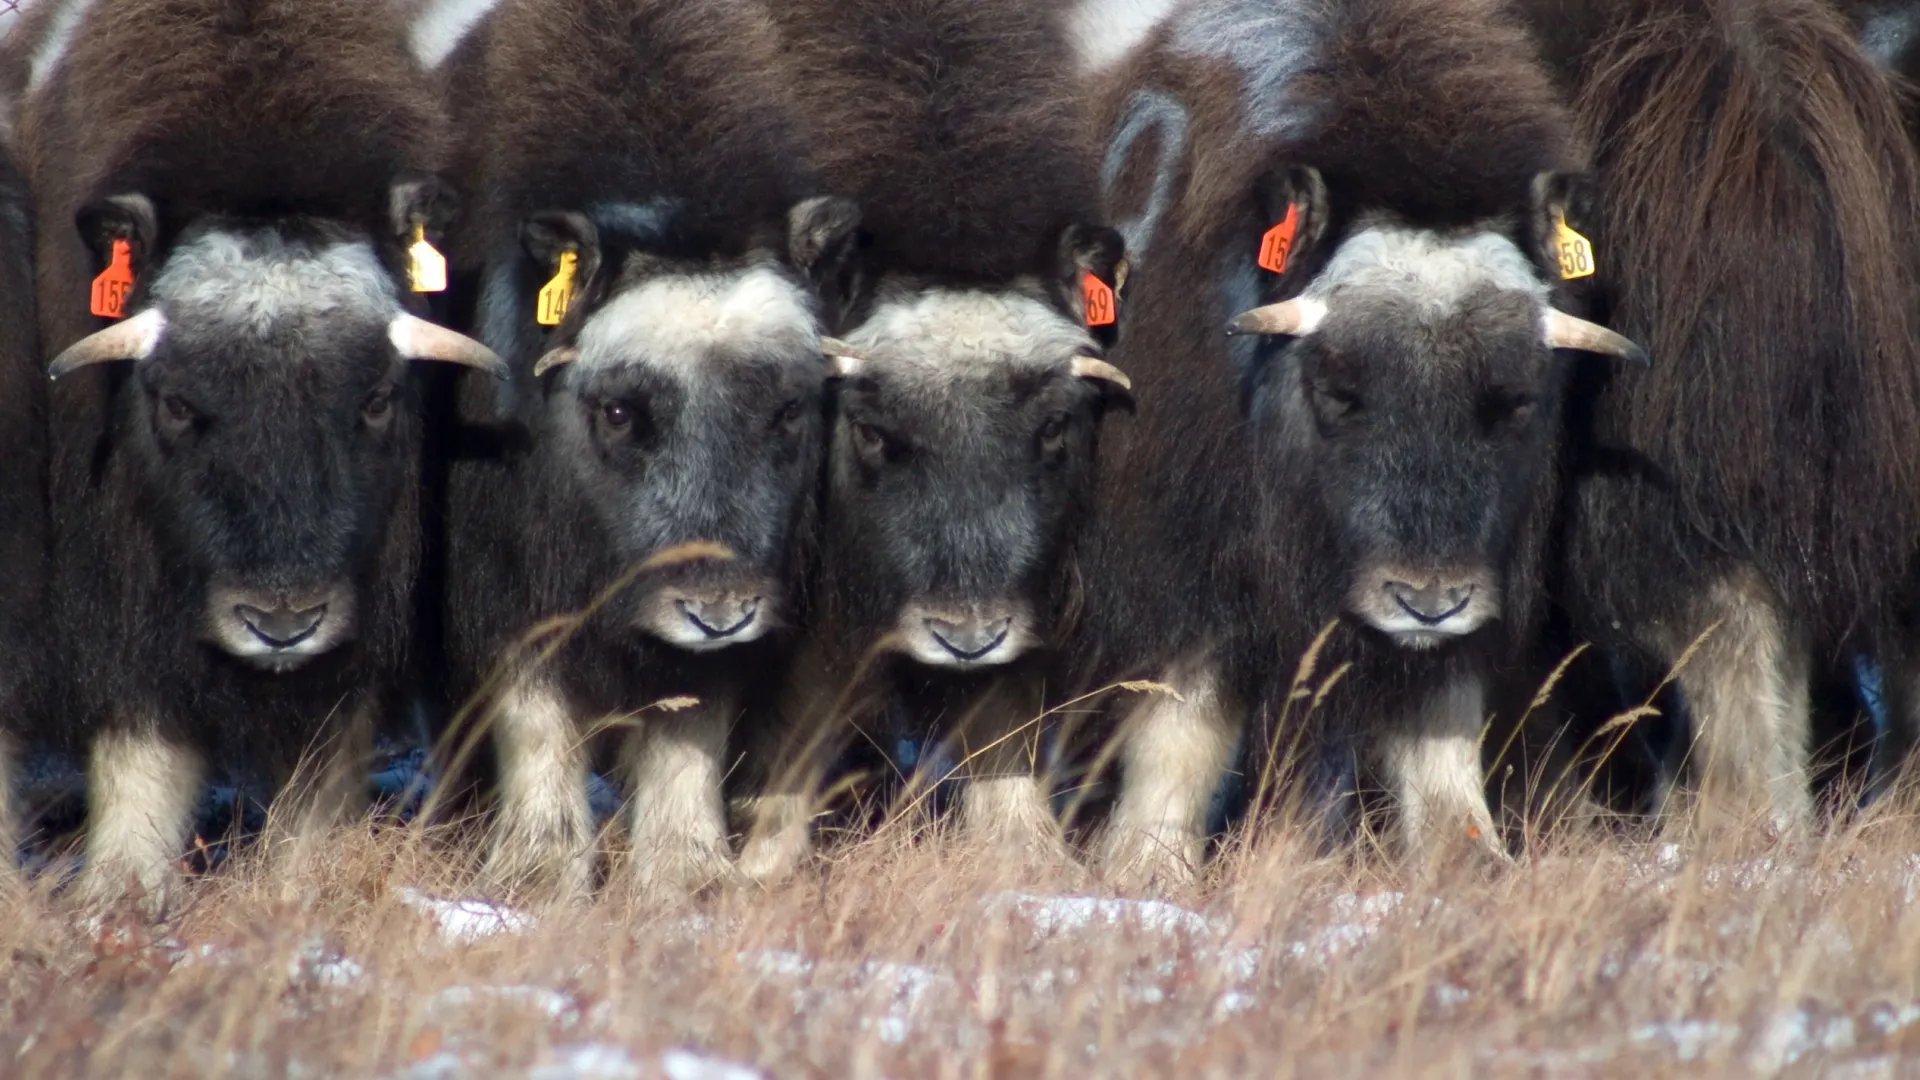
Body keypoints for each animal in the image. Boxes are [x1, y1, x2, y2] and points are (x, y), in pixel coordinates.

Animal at [9, 0, 503, 899]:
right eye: (175, 404)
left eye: (377, 400)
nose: (281, 624)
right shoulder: (117, 577)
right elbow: (142, 733)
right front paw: (122, 890)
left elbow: (323, 754)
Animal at [424, 0, 860, 895]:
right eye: (621, 412)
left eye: (788, 410)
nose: (719, 611)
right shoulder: (505, 581)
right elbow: (534, 712)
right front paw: (538, 874)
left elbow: (691, 722)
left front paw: (688, 877)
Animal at [737, 0, 1128, 876]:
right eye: (873, 432)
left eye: (1053, 428)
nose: (967, 637)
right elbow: (805, 710)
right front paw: (764, 864)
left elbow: (1004, 715)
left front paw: (1032, 859)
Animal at [1075, 0, 1643, 880]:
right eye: (1340, 392)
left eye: (1515, 402)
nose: (1429, 602)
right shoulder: (1182, 562)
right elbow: (1181, 727)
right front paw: (1147, 870)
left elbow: (1441, 732)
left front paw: (1469, 863)